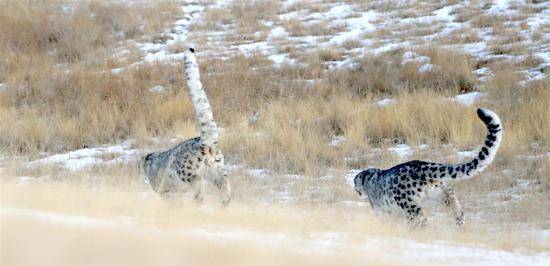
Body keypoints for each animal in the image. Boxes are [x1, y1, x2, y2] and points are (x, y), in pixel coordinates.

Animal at [142, 48, 231, 206]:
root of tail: (206, 144)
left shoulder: (165, 192)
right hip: (218, 170)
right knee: (225, 184)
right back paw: (224, 203)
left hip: (187, 172)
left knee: (198, 183)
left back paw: (198, 200)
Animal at [354, 108, 504, 227]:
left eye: (355, 183)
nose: (357, 191)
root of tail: (424, 166)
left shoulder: (380, 210)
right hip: (439, 191)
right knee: (452, 198)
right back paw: (459, 219)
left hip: (407, 202)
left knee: (420, 216)